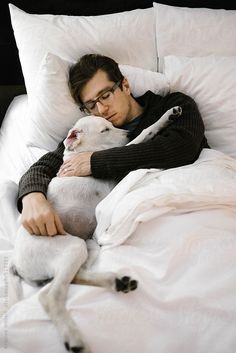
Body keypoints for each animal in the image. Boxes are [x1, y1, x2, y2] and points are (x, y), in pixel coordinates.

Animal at [9, 106, 183, 352]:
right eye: (104, 129)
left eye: (109, 125)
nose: (127, 133)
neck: (79, 154)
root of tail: (14, 261)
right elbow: (144, 134)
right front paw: (166, 117)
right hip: (73, 247)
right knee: (49, 295)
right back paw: (75, 338)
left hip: (87, 245)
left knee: (74, 276)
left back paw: (117, 282)